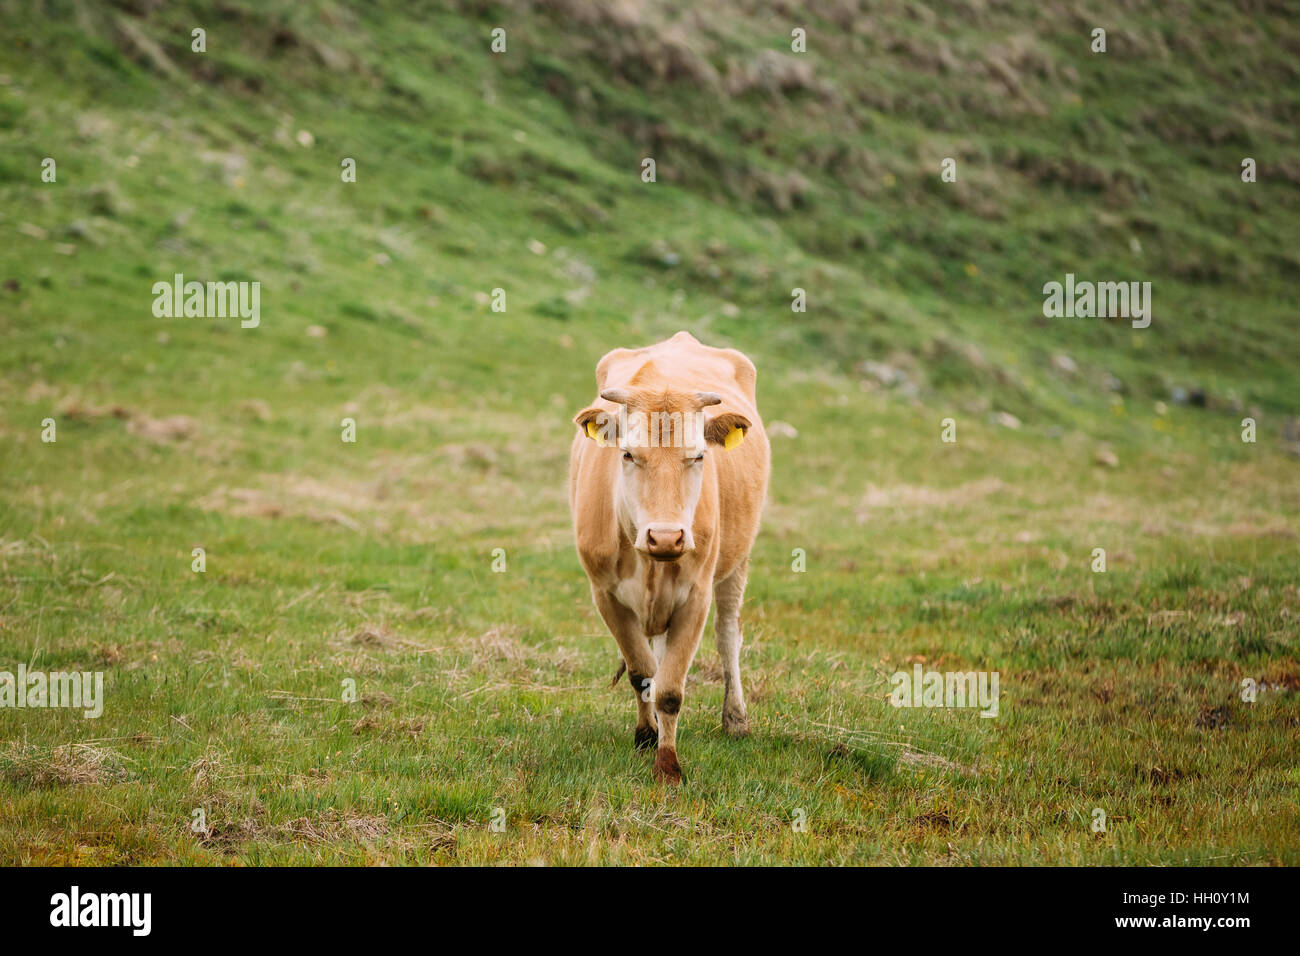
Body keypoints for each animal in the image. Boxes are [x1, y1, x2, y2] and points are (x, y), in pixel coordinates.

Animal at [572, 332, 769, 780]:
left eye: (698, 455)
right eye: (627, 453)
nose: (666, 537)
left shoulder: (695, 597)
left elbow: (670, 691)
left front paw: (668, 765)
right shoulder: (605, 595)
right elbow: (643, 673)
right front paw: (647, 736)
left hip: (738, 562)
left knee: (728, 636)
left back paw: (736, 720)